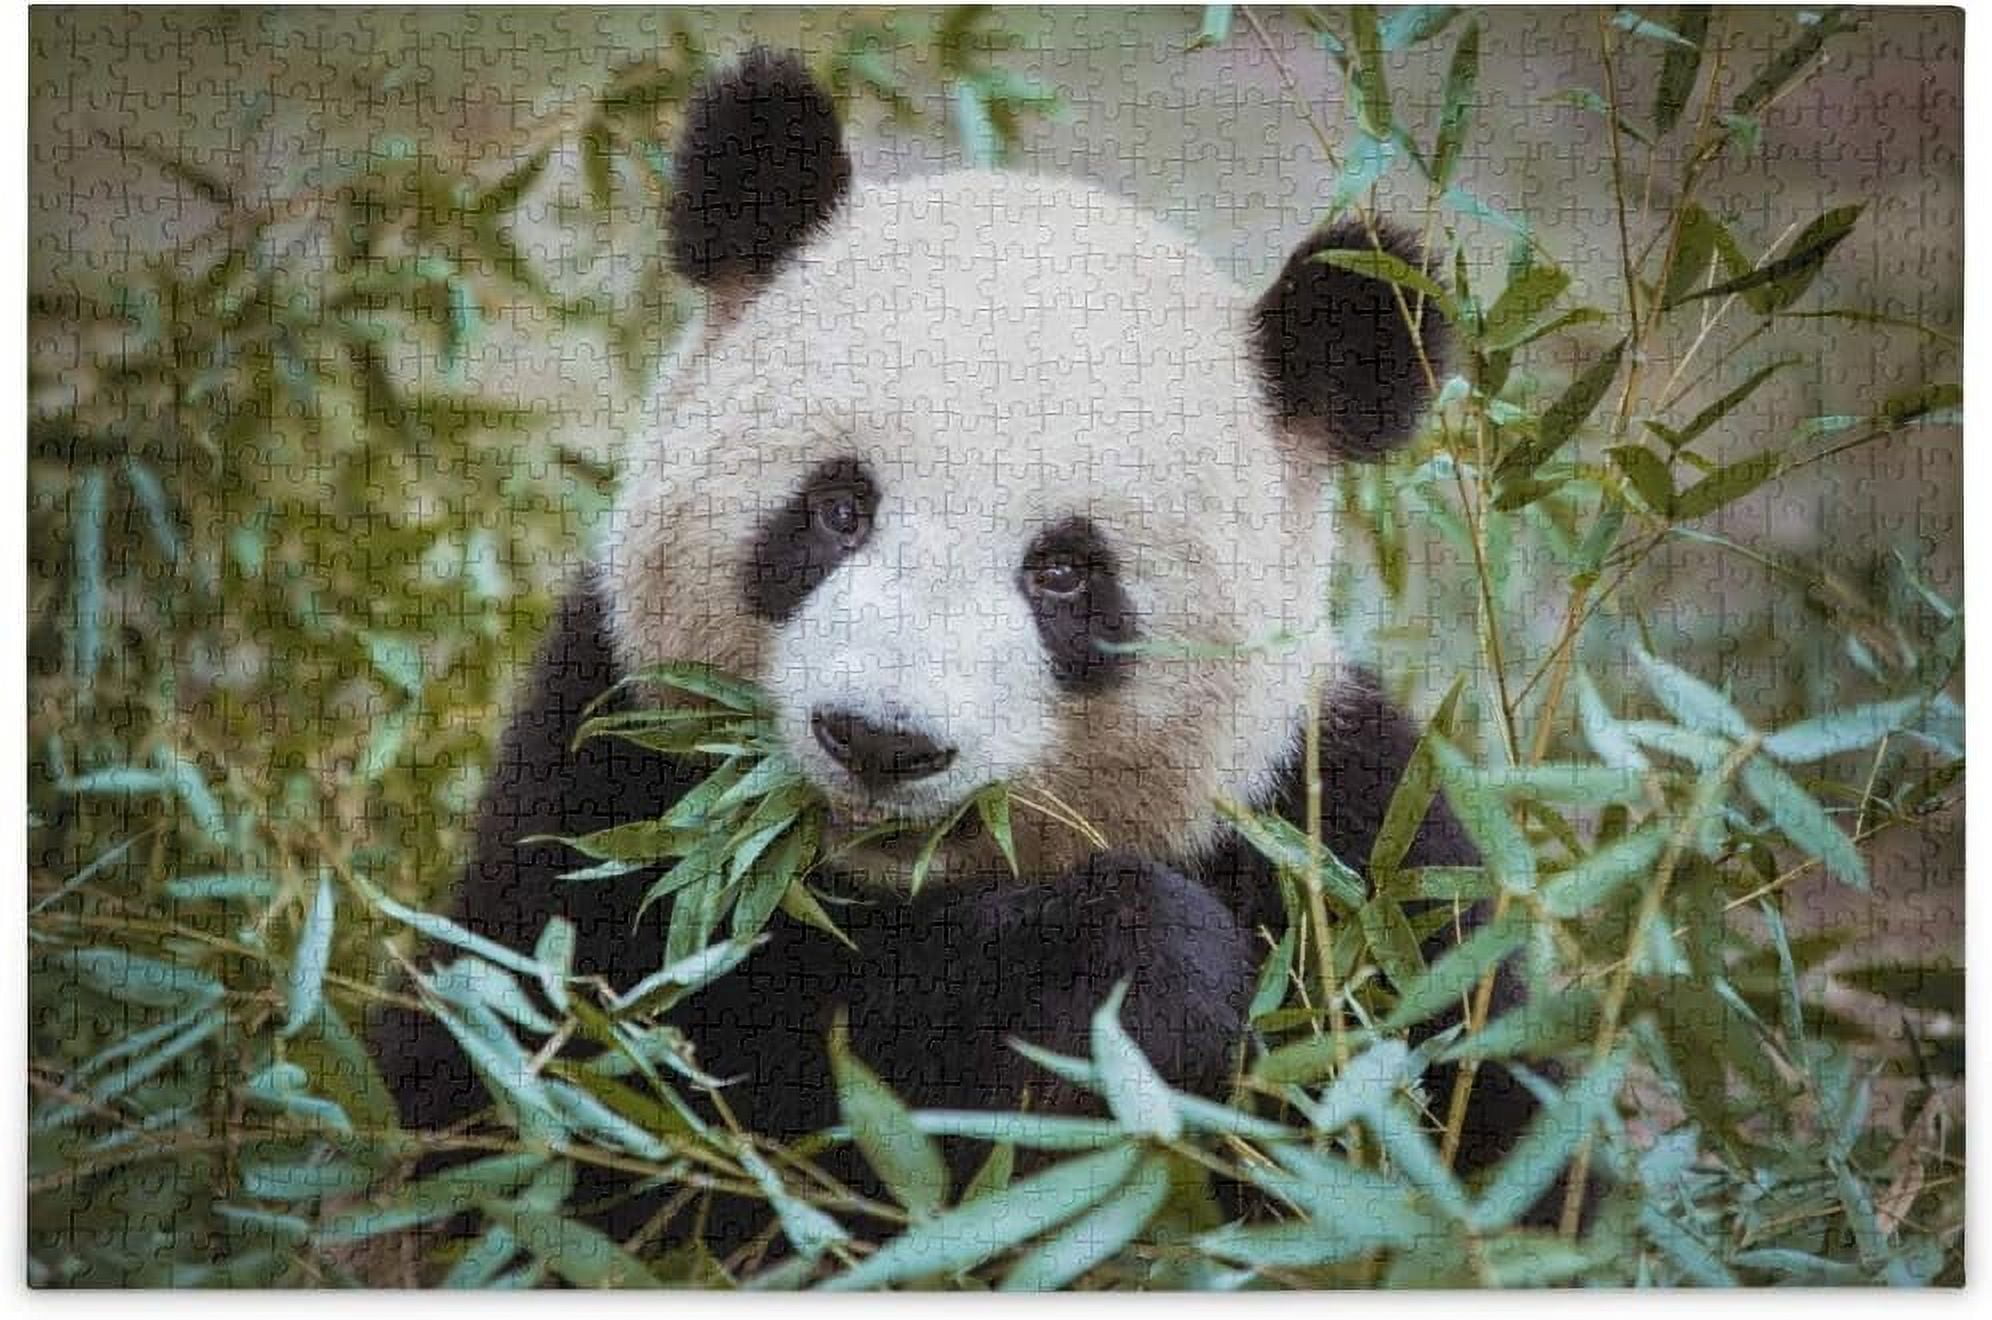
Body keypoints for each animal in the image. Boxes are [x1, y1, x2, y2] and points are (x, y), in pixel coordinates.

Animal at [374, 49, 1551, 1249]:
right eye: (839, 508)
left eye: (1065, 571)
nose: (881, 741)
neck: (884, 887)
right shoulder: (609, 772)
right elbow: (567, 1108)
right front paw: (1125, 979)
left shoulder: (1352, 851)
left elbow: (1477, 1129)